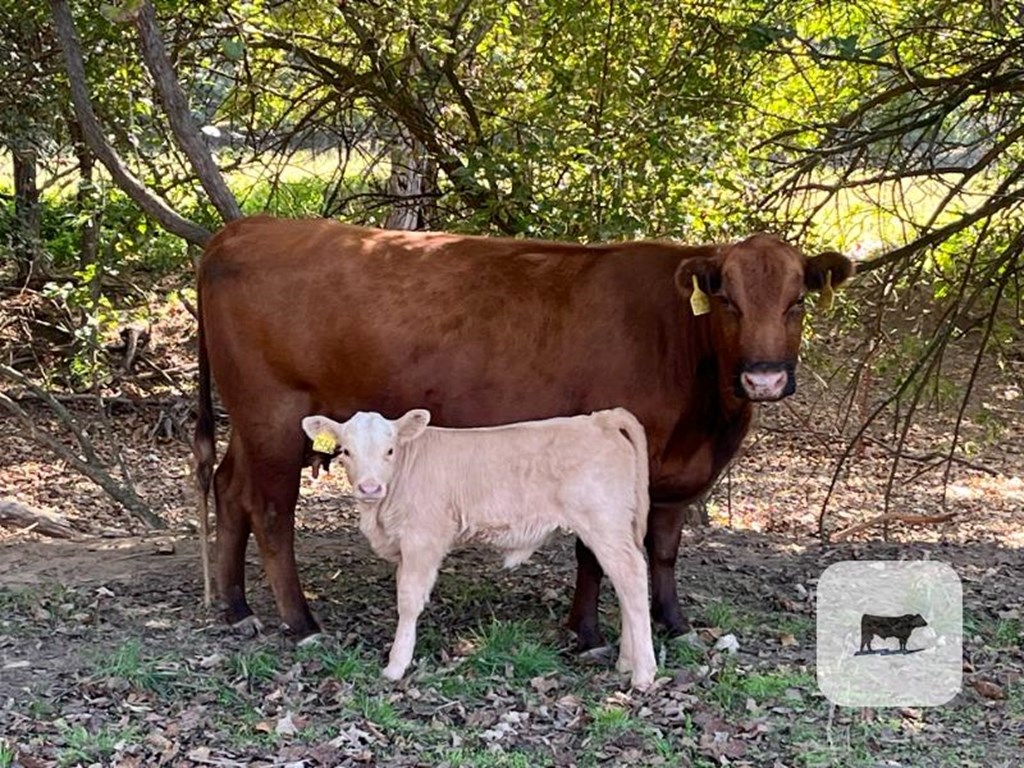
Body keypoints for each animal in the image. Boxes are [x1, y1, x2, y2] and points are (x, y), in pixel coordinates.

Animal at [192, 217, 847, 651]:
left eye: (797, 301)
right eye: (728, 300)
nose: (764, 377)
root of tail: (243, 228)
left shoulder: (673, 474)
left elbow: (662, 547)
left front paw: (675, 624)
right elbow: (594, 554)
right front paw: (587, 634)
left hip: (254, 421)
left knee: (230, 489)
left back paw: (235, 606)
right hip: (274, 414)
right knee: (270, 510)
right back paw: (300, 623)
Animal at [303, 409, 655, 692]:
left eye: (390, 450)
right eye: (346, 451)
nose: (370, 488)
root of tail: (599, 419)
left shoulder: (423, 538)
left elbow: (408, 600)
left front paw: (395, 666)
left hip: (604, 523)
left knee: (633, 578)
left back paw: (644, 674)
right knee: (625, 585)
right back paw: (626, 662)